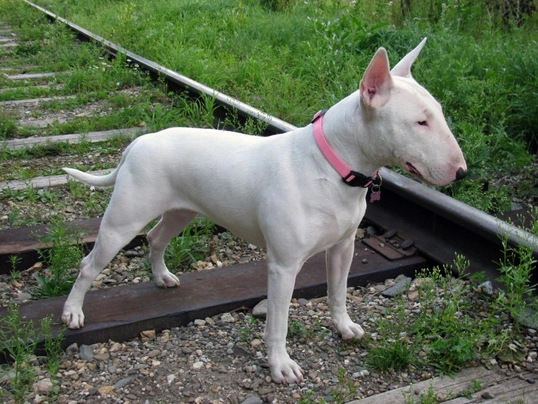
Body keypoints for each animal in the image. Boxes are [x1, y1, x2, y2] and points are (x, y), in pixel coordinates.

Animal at [61, 39, 464, 384]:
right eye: (420, 122)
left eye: (439, 114)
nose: (462, 171)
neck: (332, 165)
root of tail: (137, 144)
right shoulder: (283, 266)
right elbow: (279, 321)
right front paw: (281, 366)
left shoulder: (343, 247)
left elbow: (337, 293)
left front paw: (344, 327)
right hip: (122, 222)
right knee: (89, 265)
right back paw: (72, 312)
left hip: (181, 212)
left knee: (156, 238)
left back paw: (162, 277)